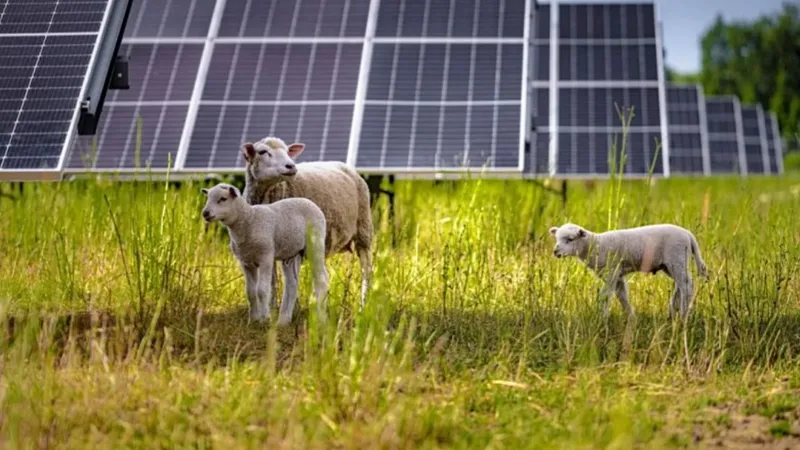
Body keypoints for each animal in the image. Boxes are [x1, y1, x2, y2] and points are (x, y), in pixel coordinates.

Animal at [201, 183, 329, 326]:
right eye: (207, 198)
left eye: (223, 199)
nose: (205, 213)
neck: (249, 220)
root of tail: (310, 202)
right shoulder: (246, 261)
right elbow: (250, 292)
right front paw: (253, 320)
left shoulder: (265, 257)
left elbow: (261, 290)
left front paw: (264, 319)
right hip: (291, 253)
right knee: (292, 283)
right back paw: (283, 321)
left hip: (315, 243)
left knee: (322, 279)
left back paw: (320, 317)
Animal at [240, 136, 373, 309]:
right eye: (262, 152)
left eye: (287, 151)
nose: (291, 166)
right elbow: (271, 280)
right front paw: (272, 307)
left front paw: (292, 307)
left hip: (363, 229)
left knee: (366, 269)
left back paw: (364, 304)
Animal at [548, 223, 708, 319]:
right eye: (556, 239)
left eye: (570, 239)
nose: (555, 252)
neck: (595, 245)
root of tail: (688, 235)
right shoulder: (617, 274)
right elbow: (622, 296)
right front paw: (631, 316)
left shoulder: (611, 272)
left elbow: (605, 296)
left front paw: (602, 317)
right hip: (671, 264)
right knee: (680, 285)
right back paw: (672, 312)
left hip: (677, 257)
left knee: (686, 285)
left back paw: (684, 315)